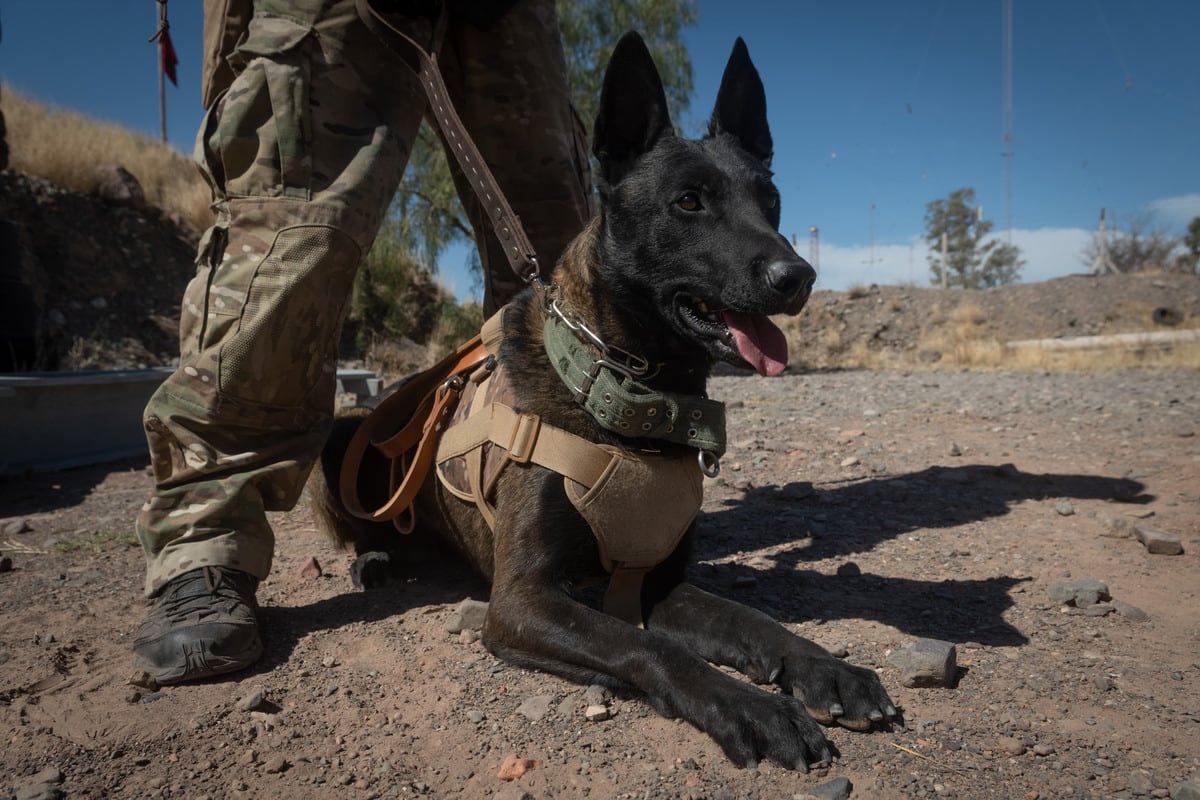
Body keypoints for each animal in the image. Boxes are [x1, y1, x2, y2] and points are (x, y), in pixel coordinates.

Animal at [314, 29, 897, 767]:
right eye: (688, 201)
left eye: (770, 202)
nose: (797, 275)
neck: (625, 398)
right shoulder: (522, 603)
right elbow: (650, 648)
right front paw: (754, 707)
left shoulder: (654, 581)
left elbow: (750, 619)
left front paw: (826, 668)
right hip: (340, 433)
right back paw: (375, 559)